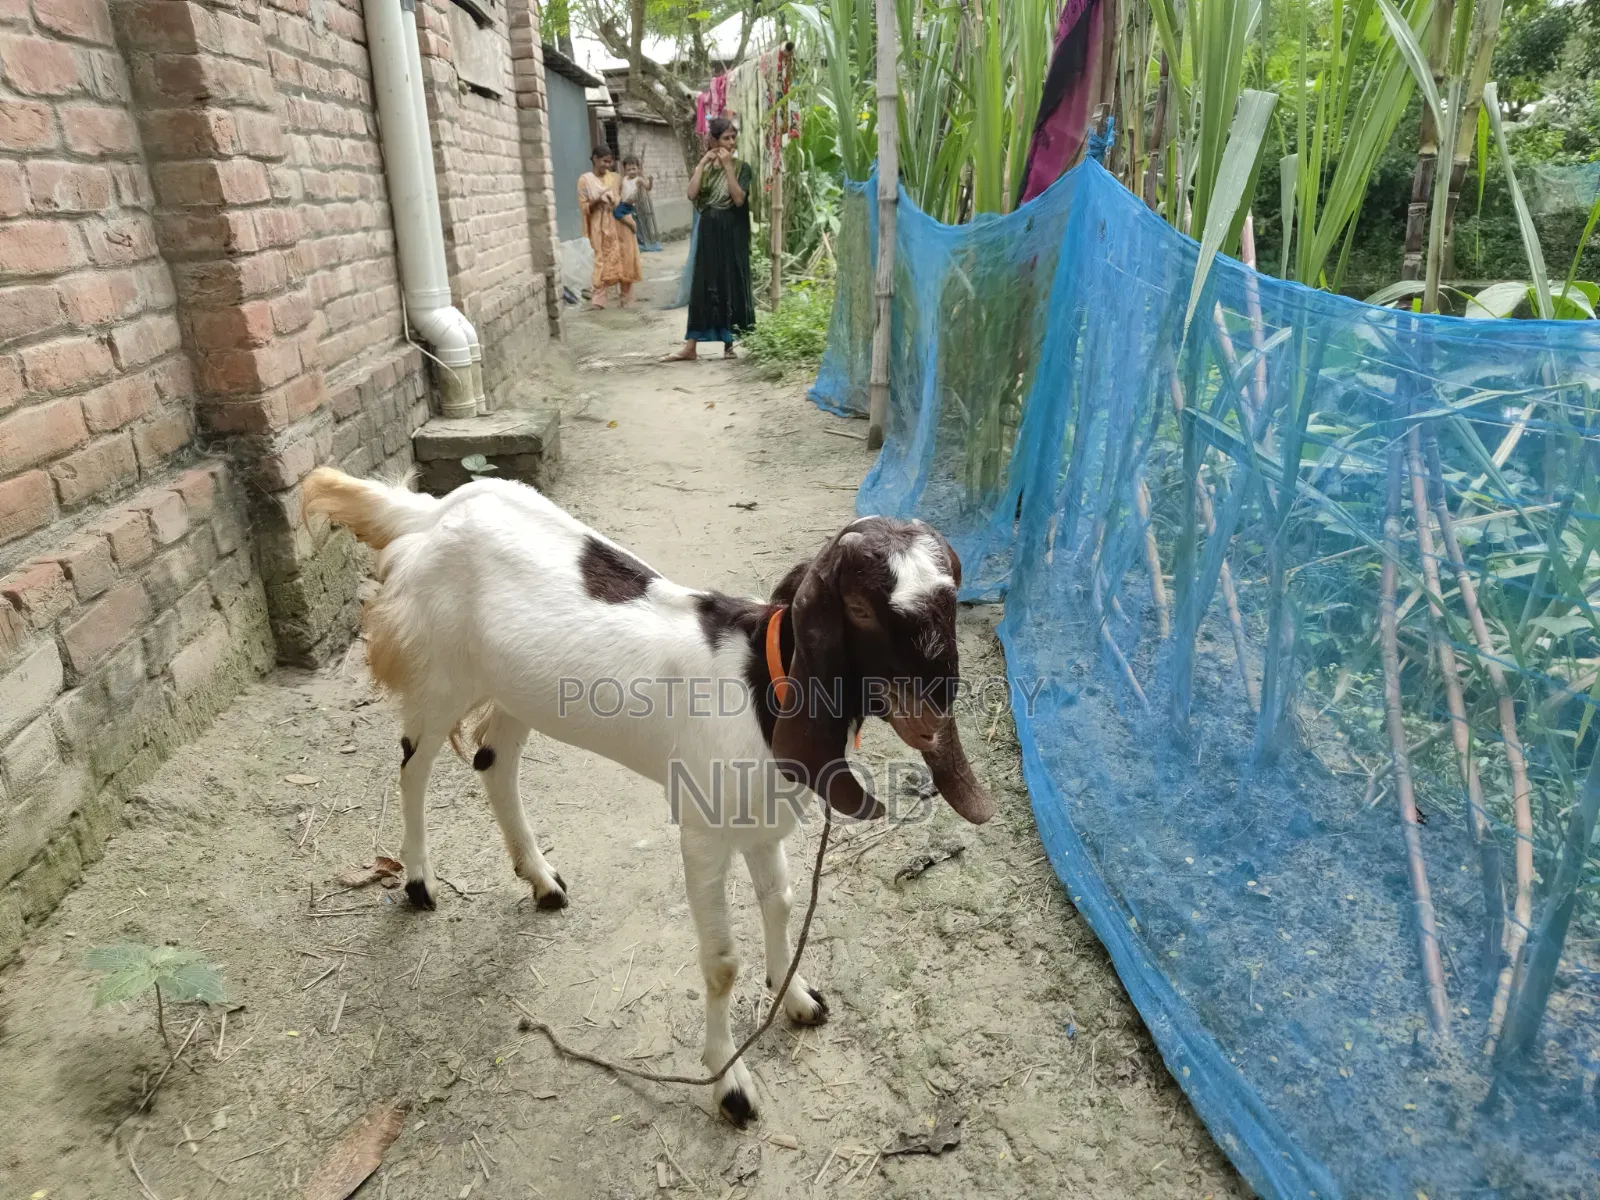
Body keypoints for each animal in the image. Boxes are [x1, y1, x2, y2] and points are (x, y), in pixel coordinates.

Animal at [300, 466, 995, 1125]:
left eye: (952, 597)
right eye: (859, 607)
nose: (931, 719)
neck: (761, 687)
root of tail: (434, 510)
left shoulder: (763, 823)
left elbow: (781, 904)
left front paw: (796, 999)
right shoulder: (705, 836)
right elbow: (722, 962)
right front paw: (730, 1085)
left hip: (520, 690)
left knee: (494, 763)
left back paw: (541, 880)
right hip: (442, 672)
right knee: (413, 764)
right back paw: (419, 881)